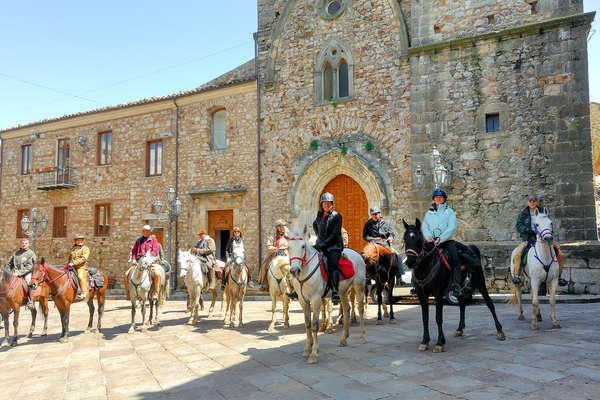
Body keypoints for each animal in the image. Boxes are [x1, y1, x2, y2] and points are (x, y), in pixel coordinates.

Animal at [286, 230, 366, 364]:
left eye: (303, 246)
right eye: (288, 247)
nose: (295, 270)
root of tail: (356, 253)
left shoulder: (316, 299)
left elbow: (314, 325)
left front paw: (314, 353)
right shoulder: (303, 300)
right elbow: (307, 323)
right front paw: (307, 349)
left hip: (358, 286)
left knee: (360, 308)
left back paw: (362, 336)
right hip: (342, 291)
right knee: (347, 309)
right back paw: (343, 339)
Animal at [400, 219, 504, 354]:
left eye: (418, 239)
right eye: (405, 239)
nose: (410, 262)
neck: (426, 266)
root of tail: (471, 248)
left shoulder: (438, 293)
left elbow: (438, 317)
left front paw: (439, 343)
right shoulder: (421, 294)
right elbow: (425, 318)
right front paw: (425, 341)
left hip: (480, 281)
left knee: (489, 303)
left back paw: (500, 331)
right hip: (457, 287)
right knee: (462, 304)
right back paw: (460, 329)